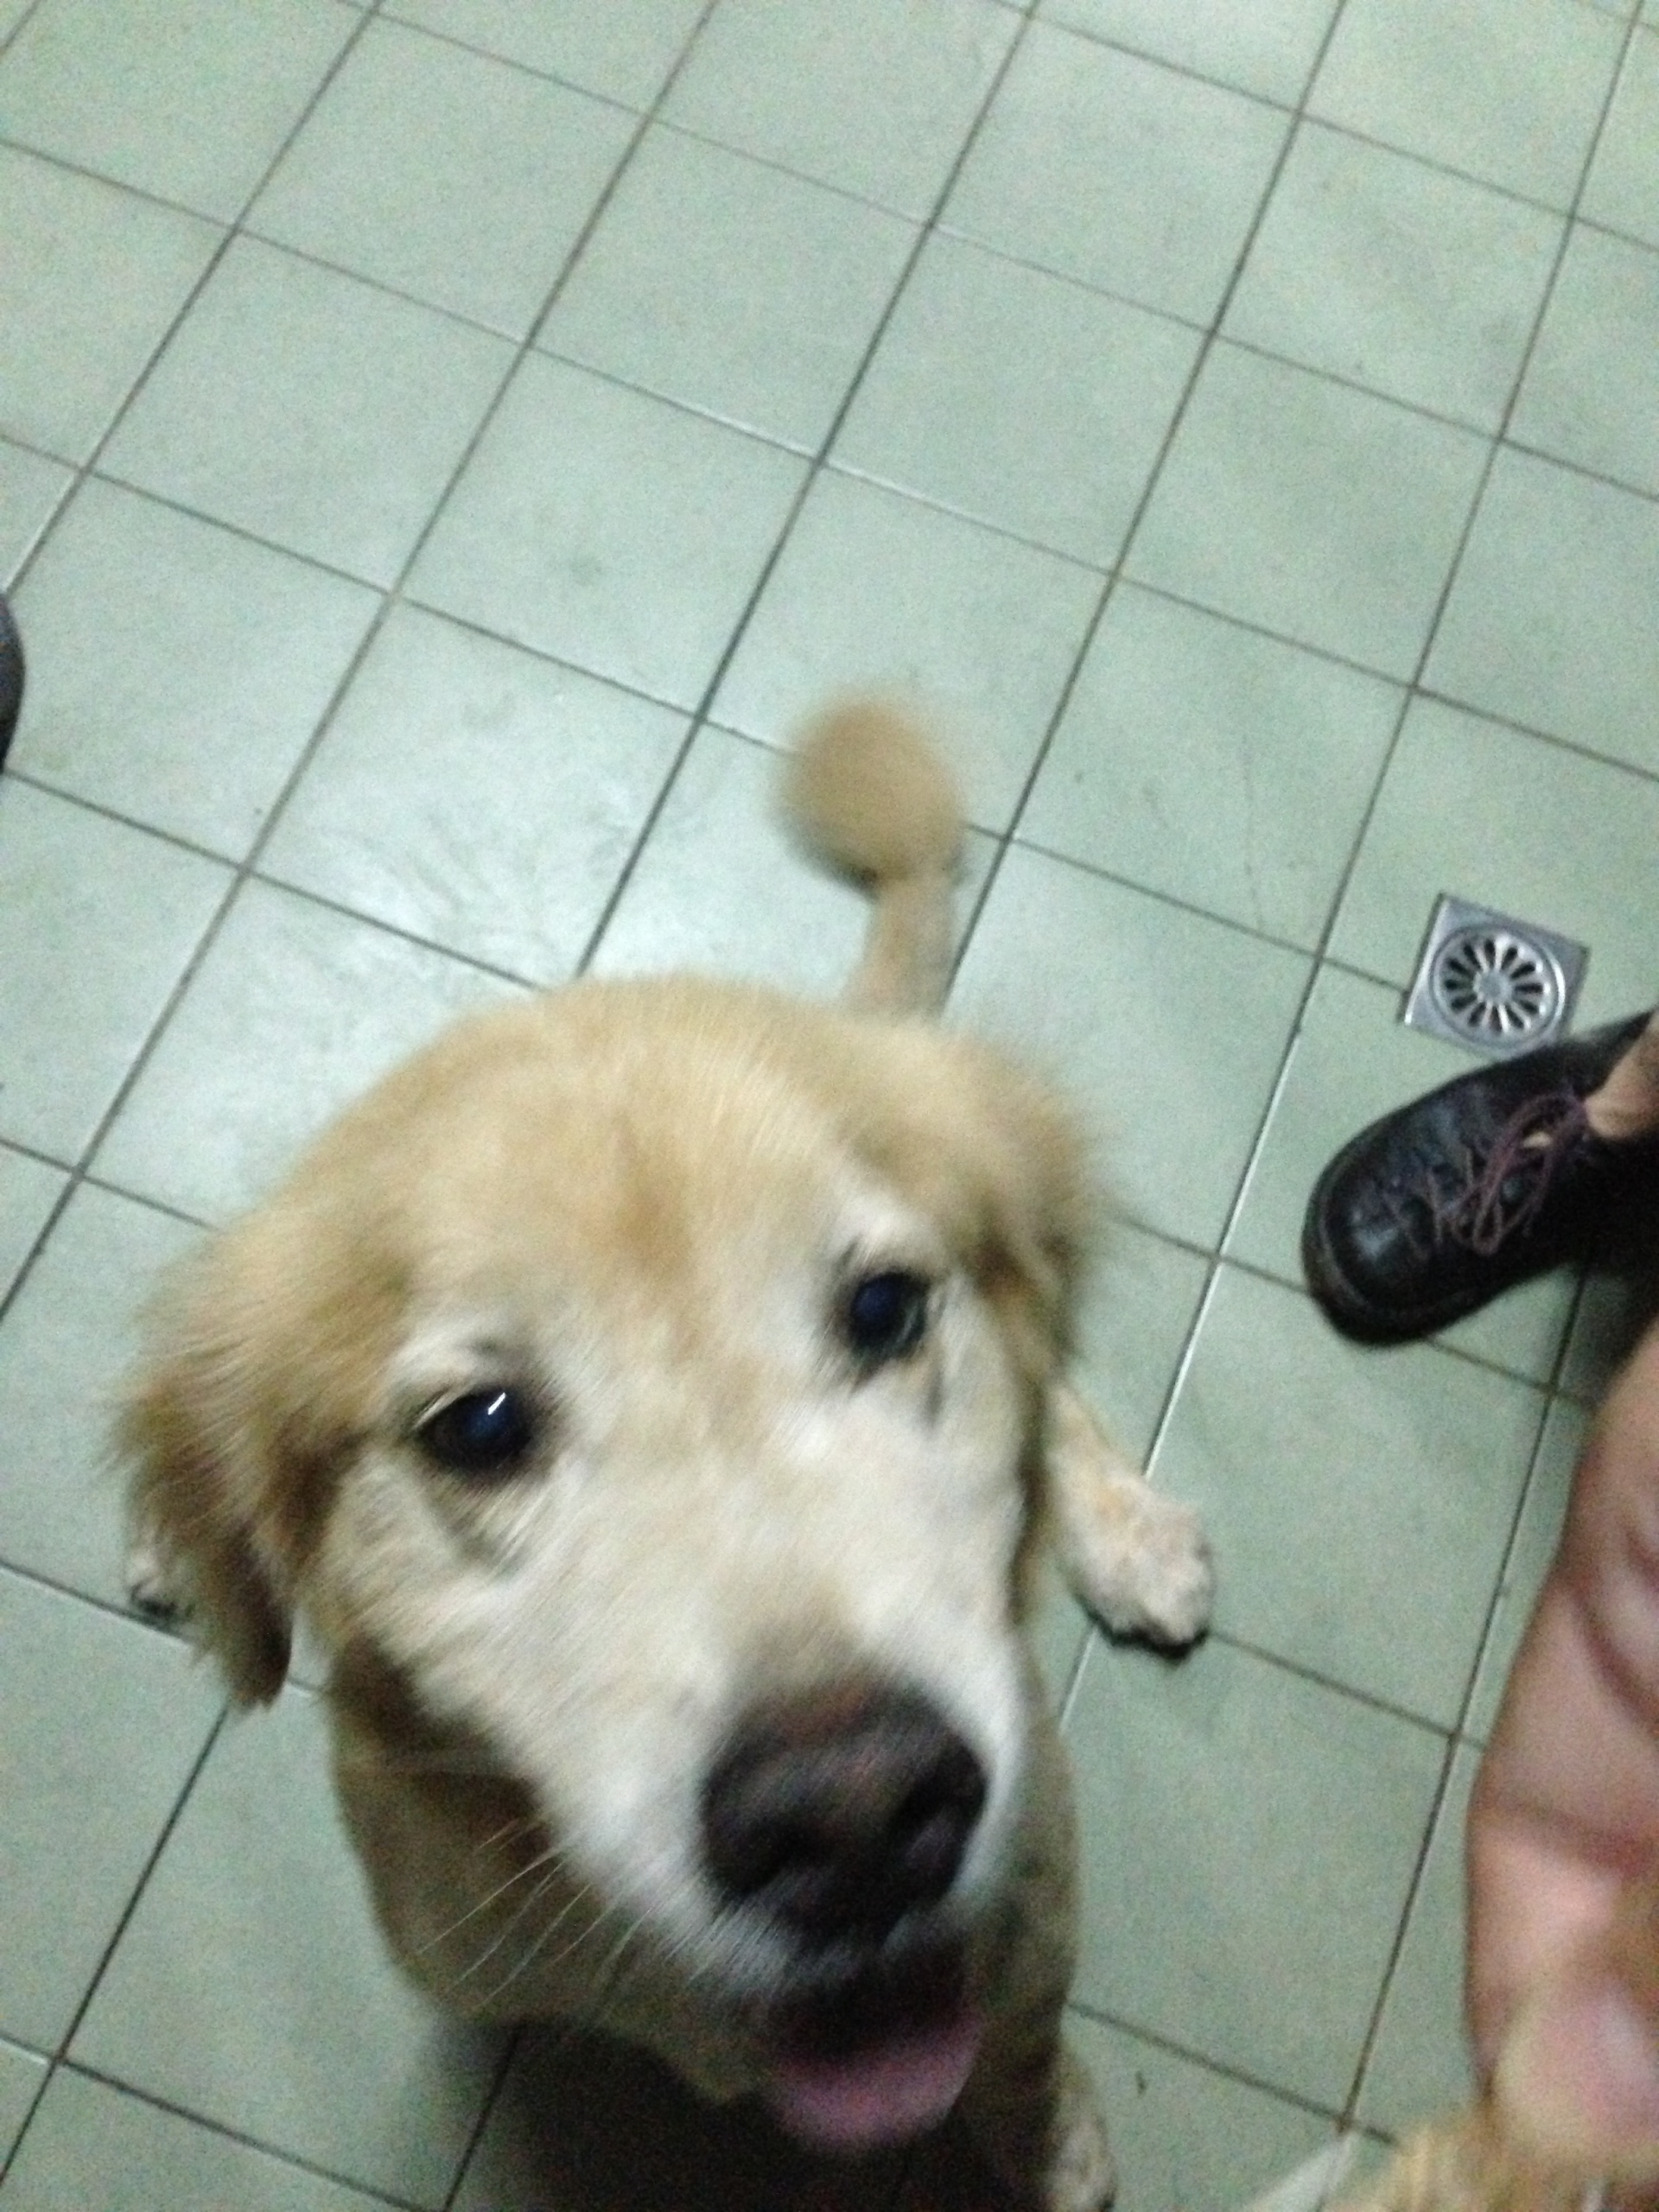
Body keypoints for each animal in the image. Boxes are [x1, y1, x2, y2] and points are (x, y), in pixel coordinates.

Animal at [122, 703, 1214, 2210]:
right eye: (480, 1428)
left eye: (884, 1310)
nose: (855, 1819)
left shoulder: (1039, 1866)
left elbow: (1021, 2045)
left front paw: (1052, 2147)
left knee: (1065, 1393)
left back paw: (1128, 1533)